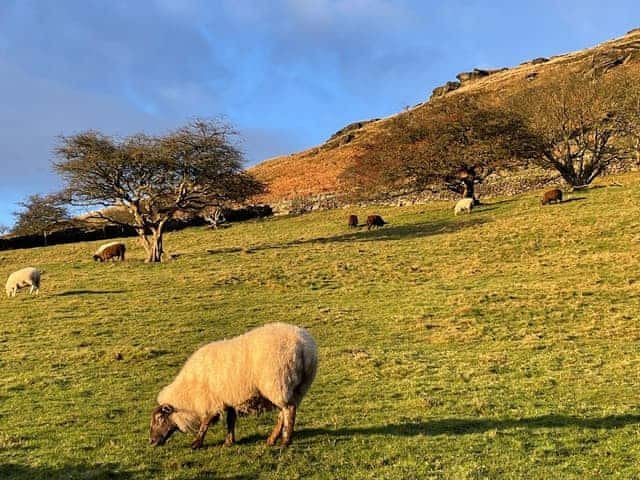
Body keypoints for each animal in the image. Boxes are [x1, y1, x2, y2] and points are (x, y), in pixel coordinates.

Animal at [148, 322, 318, 450]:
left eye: (160, 418)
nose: (151, 441)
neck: (188, 393)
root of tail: (304, 347)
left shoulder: (211, 401)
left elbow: (205, 423)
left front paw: (196, 443)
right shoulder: (228, 398)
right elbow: (230, 420)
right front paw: (229, 441)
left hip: (278, 383)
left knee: (289, 411)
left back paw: (285, 441)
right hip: (297, 387)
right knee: (284, 413)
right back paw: (272, 439)